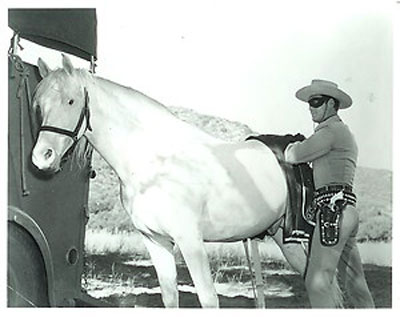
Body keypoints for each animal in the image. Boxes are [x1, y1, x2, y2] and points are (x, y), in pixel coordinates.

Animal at [32, 55, 338, 308]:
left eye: (71, 101)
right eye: (40, 107)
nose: (42, 157)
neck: (155, 163)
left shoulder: (190, 240)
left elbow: (208, 299)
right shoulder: (156, 242)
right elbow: (170, 297)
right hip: (285, 240)